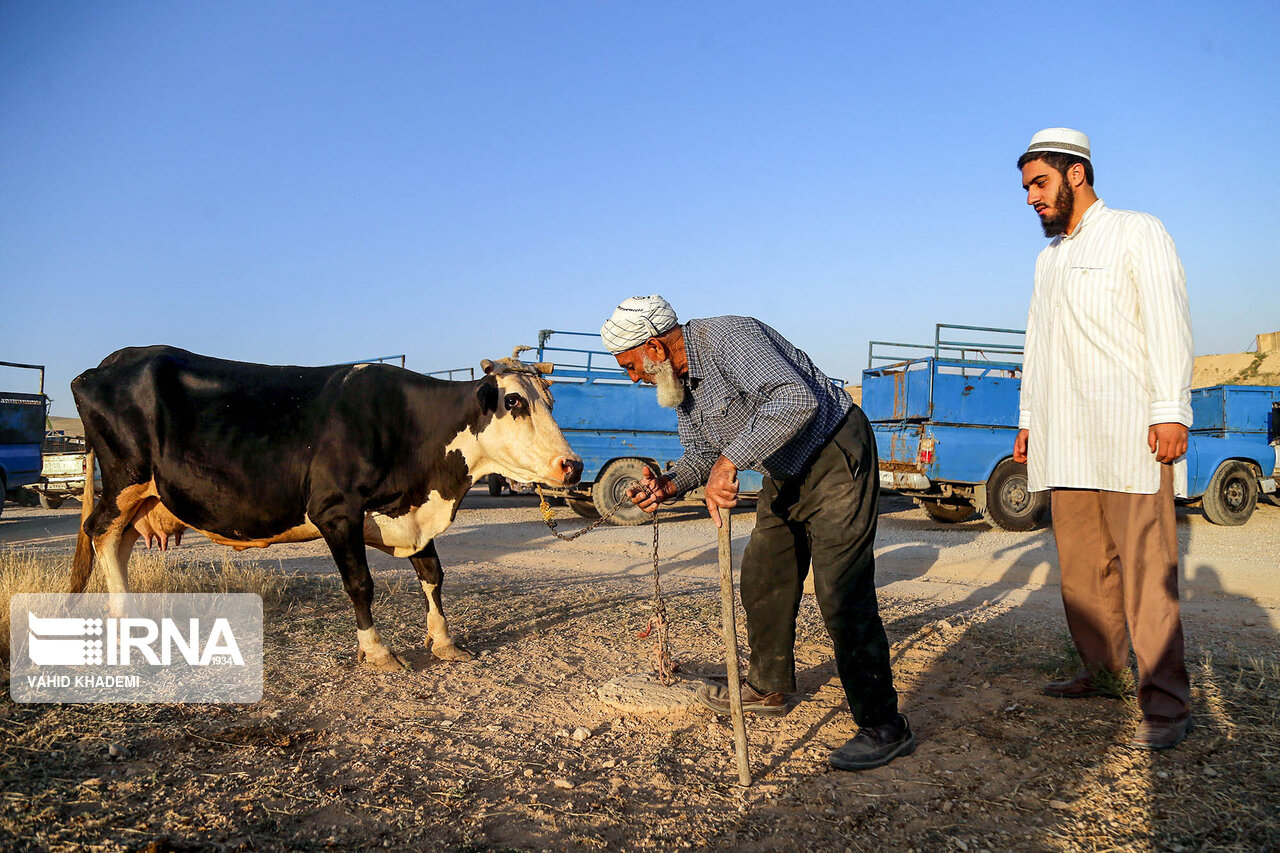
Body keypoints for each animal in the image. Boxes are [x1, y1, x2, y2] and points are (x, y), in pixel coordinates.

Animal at [70, 343, 581, 666]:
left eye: (550, 400)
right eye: (514, 402)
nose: (572, 465)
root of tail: (109, 363)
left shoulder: (409, 516)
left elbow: (433, 574)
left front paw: (444, 640)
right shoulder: (336, 512)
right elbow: (360, 584)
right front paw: (376, 651)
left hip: (142, 495)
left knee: (118, 541)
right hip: (124, 480)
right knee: (101, 533)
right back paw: (123, 620)